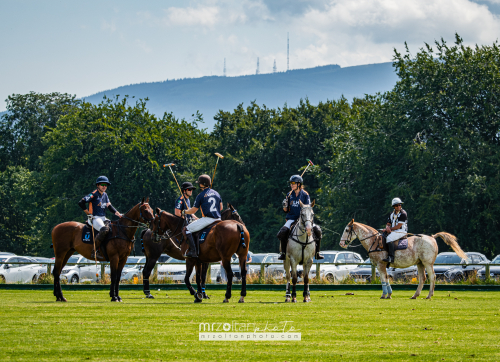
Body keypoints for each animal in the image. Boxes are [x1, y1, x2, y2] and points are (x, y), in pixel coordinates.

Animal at [338, 221, 466, 300]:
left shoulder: (380, 264)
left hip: (428, 263)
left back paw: (429, 295)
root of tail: (432, 237)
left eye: (346, 230)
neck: (373, 241)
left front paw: (384, 295)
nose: (341, 243)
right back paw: (415, 295)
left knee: (432, 276)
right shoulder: (382, 265)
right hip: (420, 263)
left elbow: (384, 279)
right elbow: (386, 279)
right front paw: (389, 295)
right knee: (423, 278)